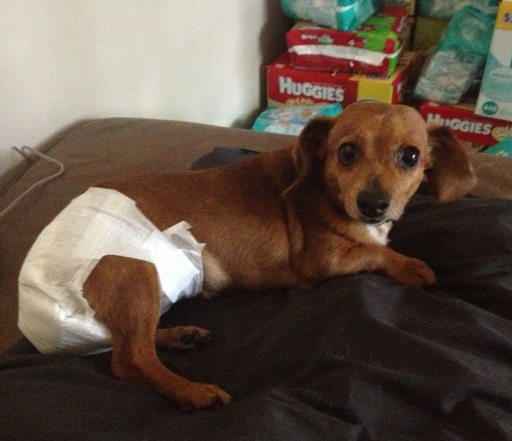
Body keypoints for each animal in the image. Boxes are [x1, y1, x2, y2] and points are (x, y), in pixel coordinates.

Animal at [31, 102, 478, 411]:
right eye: (347, 152)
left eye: (411, 157)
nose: (373, 205)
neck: (321, 187)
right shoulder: (322, 262)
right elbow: (374, 252)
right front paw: (410, 264)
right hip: (136, 271)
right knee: (129, 359)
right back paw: (193, 391)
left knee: (124, 341)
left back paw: (180, 336)